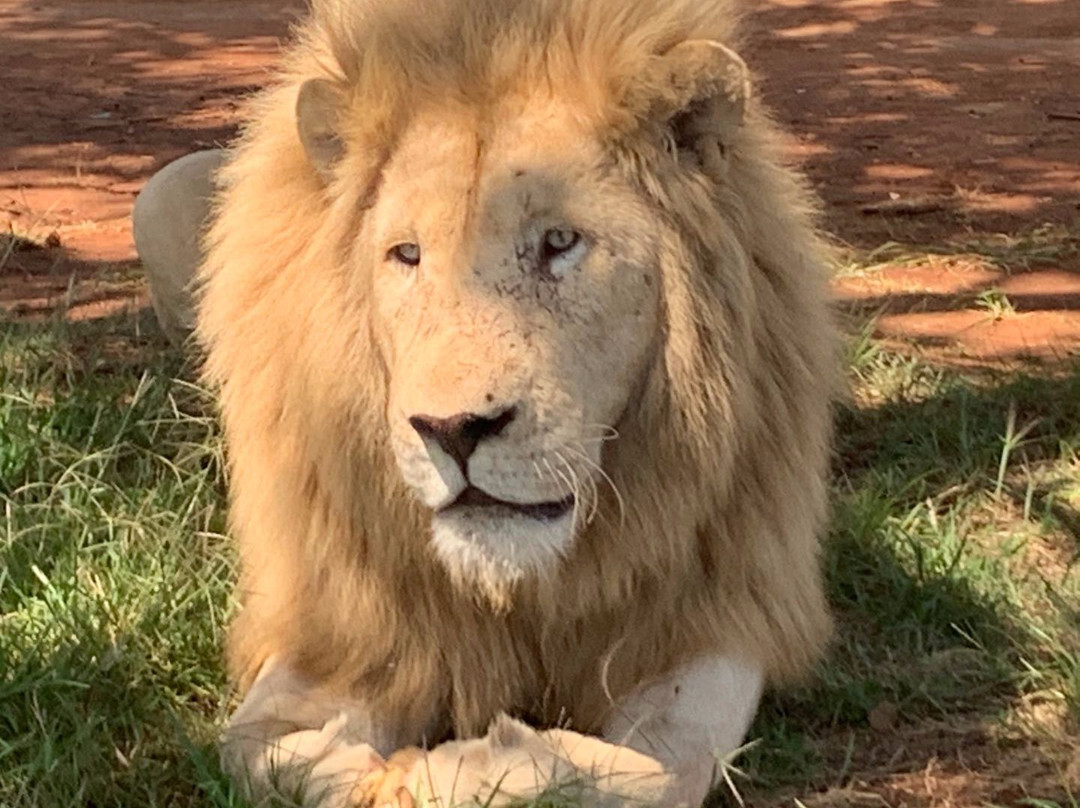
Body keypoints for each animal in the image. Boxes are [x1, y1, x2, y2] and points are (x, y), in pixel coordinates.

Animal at [135, 0, 838, 803]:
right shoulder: (342, 626)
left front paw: (480, 766)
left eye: (559, 241)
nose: (453, 430)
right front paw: (384, 772)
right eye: (407, 255)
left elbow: (665, 767)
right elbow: (260, 752)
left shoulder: (718, 612)